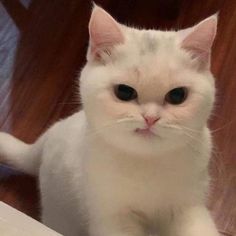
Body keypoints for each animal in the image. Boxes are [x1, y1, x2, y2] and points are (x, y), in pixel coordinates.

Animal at [0, 5, 219, 236]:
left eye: (177, 96)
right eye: (124, 92)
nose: (151, 117)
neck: (146, 163)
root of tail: (47, 138)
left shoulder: (189, 207)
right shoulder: (113, 218)